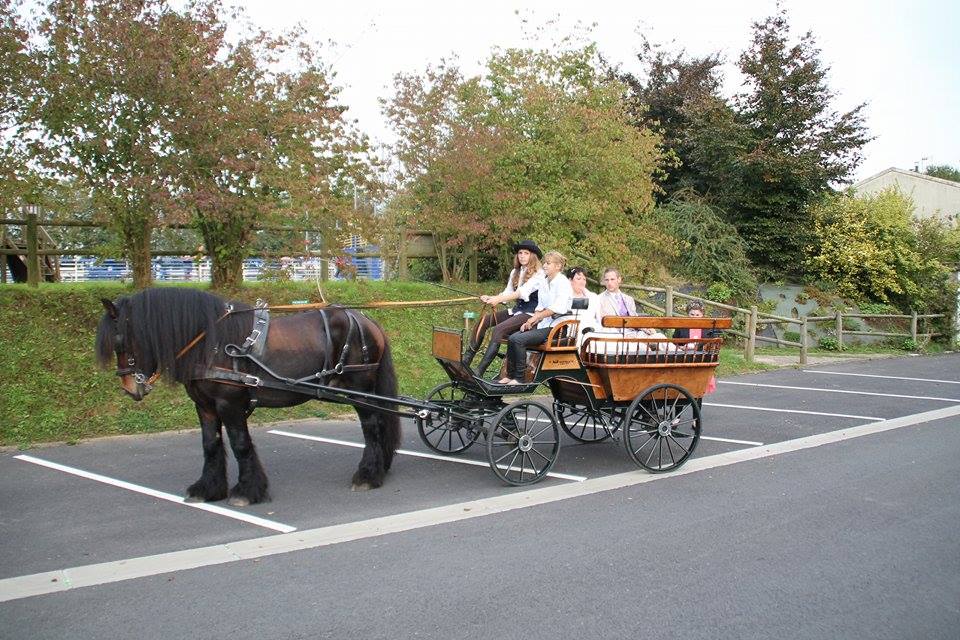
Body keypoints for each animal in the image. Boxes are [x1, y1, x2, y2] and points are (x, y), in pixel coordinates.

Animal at [94, 288, 402, 504]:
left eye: (121, 340)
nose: (130, 388)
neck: (211, 342)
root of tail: (365, 319)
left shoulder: (229, 404)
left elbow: (240, 444)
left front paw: (246, 491)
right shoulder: (204, 406)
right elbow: (210, 444)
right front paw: (207, 488)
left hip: (359, 389)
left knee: (372, 426)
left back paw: (368, 475)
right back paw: (380, 467)